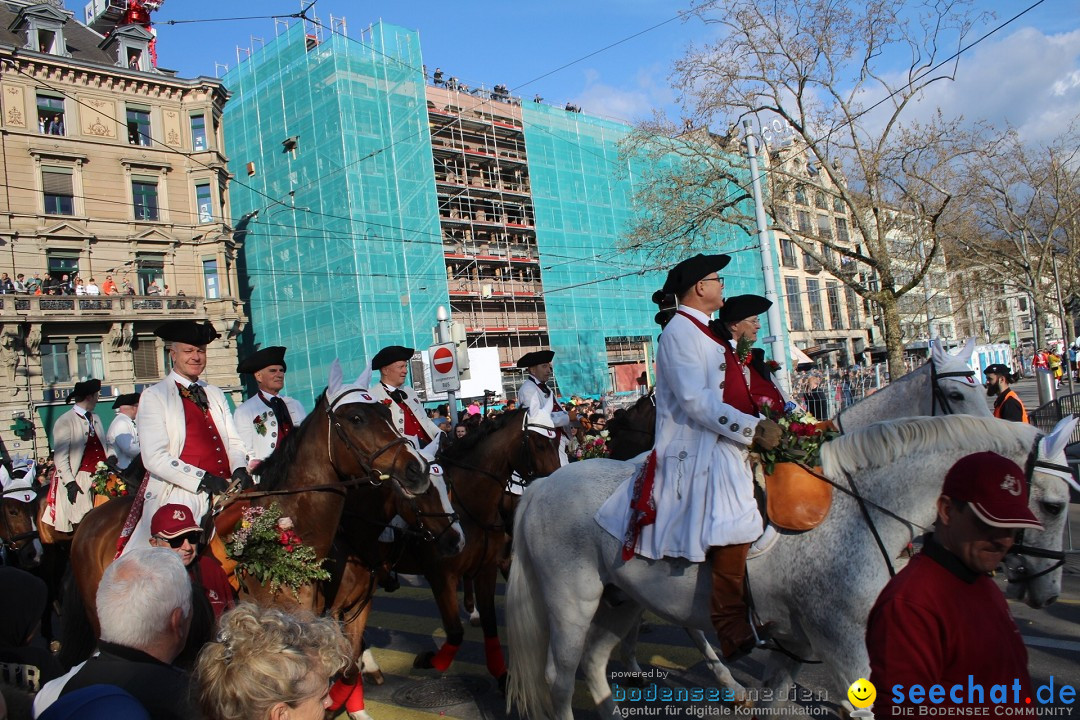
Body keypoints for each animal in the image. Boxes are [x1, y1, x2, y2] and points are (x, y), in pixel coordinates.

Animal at [507, 414, 1080, 720]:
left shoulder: (795, 643)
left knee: (594, 664)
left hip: (621, 602)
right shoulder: (845, 647)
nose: (1048, 591)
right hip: (572, 604)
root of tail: (541, 486)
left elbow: (775, 701)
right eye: (1054, 505)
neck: (861, 507)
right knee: (561, 676)